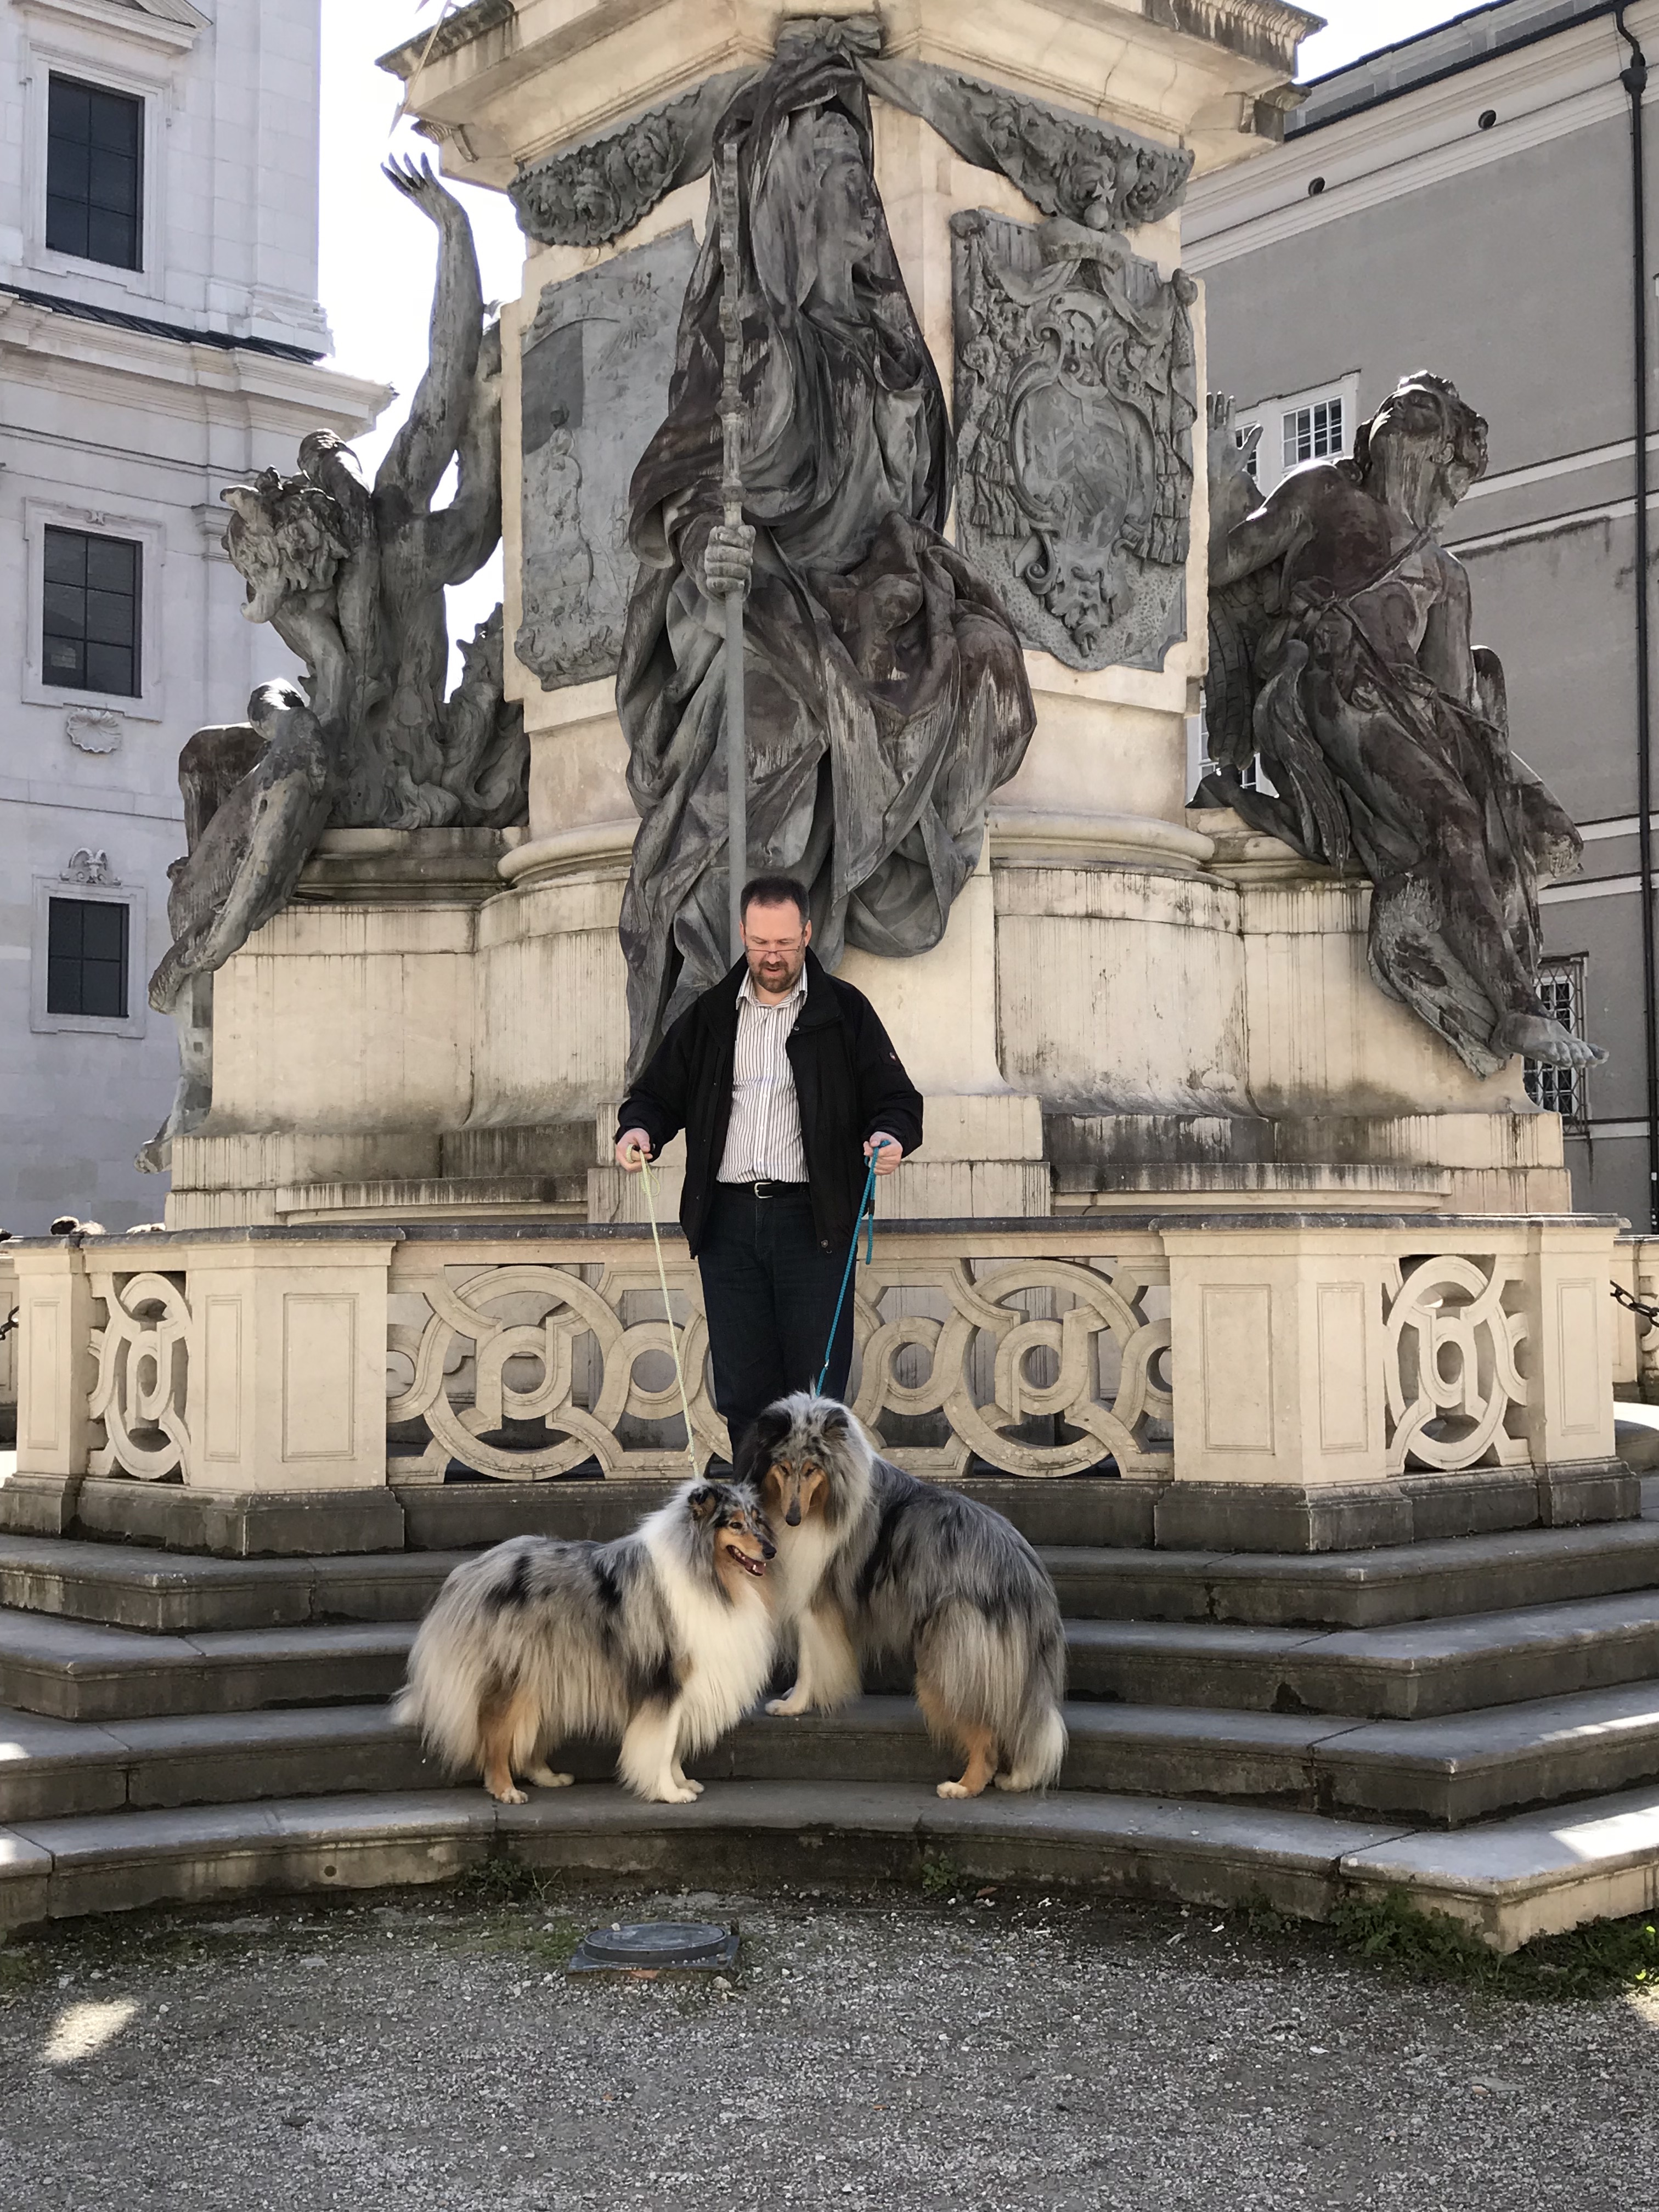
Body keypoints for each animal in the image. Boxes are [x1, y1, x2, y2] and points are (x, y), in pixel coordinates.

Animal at [395, 1479, 777, 1805]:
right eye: (736, 1525)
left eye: (758, 1520)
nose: (772, 1550)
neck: (708, 1573)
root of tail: (470, 1572)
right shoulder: (666, 1681)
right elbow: (663, 1743)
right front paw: (669, 1793)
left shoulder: (682, 1687)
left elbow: (672, 1748)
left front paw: (681, 1782)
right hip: (515, 1675)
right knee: (495, 1731)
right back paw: (505, 1790)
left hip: (546, 1672)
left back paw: (548, 1777)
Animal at [735, 1394, 1067, 1799]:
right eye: (782, 1467)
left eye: (812, 1469)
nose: (793, 1519)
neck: (830, 1498)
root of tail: (1029, 1574)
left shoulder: (815, 1601)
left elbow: (810, 1661)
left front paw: (794, 1705)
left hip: (953, 1654)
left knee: (983, 1730)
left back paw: (963, 1787)